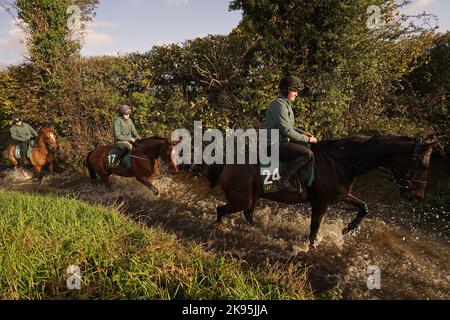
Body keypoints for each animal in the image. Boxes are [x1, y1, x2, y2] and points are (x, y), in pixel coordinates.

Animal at [207, 134, 440, 248]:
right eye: (424, 166)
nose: (417, 196)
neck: (340, 163)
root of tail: (227, 162)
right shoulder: (320, 204)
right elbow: (314, 230)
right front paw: (312, 248)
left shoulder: (341, 195)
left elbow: (363, 207)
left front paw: (347, 229)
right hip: (241, 199)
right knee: (221, 210)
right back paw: (218, 229)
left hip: (251, 198)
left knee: (247, 215)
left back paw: (260, 231)